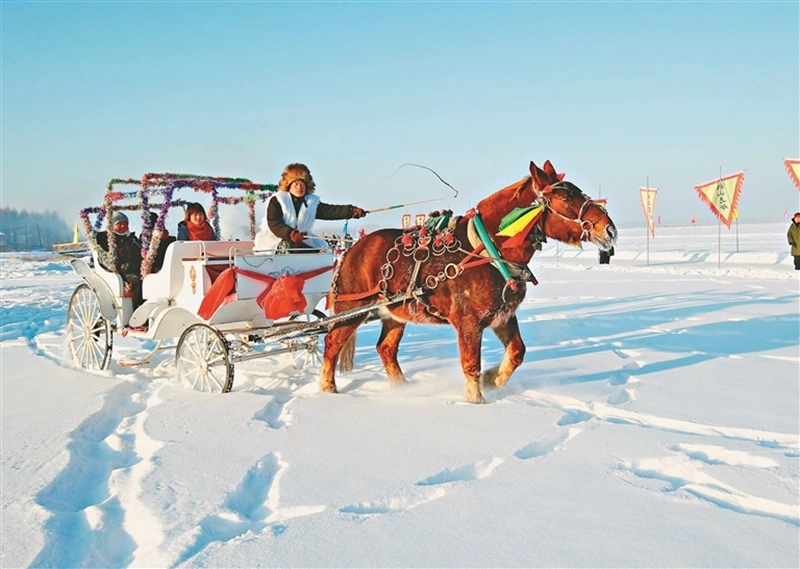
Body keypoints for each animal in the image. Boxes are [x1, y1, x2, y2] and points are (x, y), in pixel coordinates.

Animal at [320, 160, 617, 403]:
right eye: (565, 197)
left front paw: (493, 379)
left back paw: (402, 388)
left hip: (394, 313)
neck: (487, 251)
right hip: (352, 310)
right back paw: (327, 390)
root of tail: (353, 249)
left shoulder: (502, 315)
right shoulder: (469, 322)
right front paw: (477, 402)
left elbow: (517, 352)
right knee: (332, 343)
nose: (610, 230)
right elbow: (471, 364)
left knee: (385, 349)